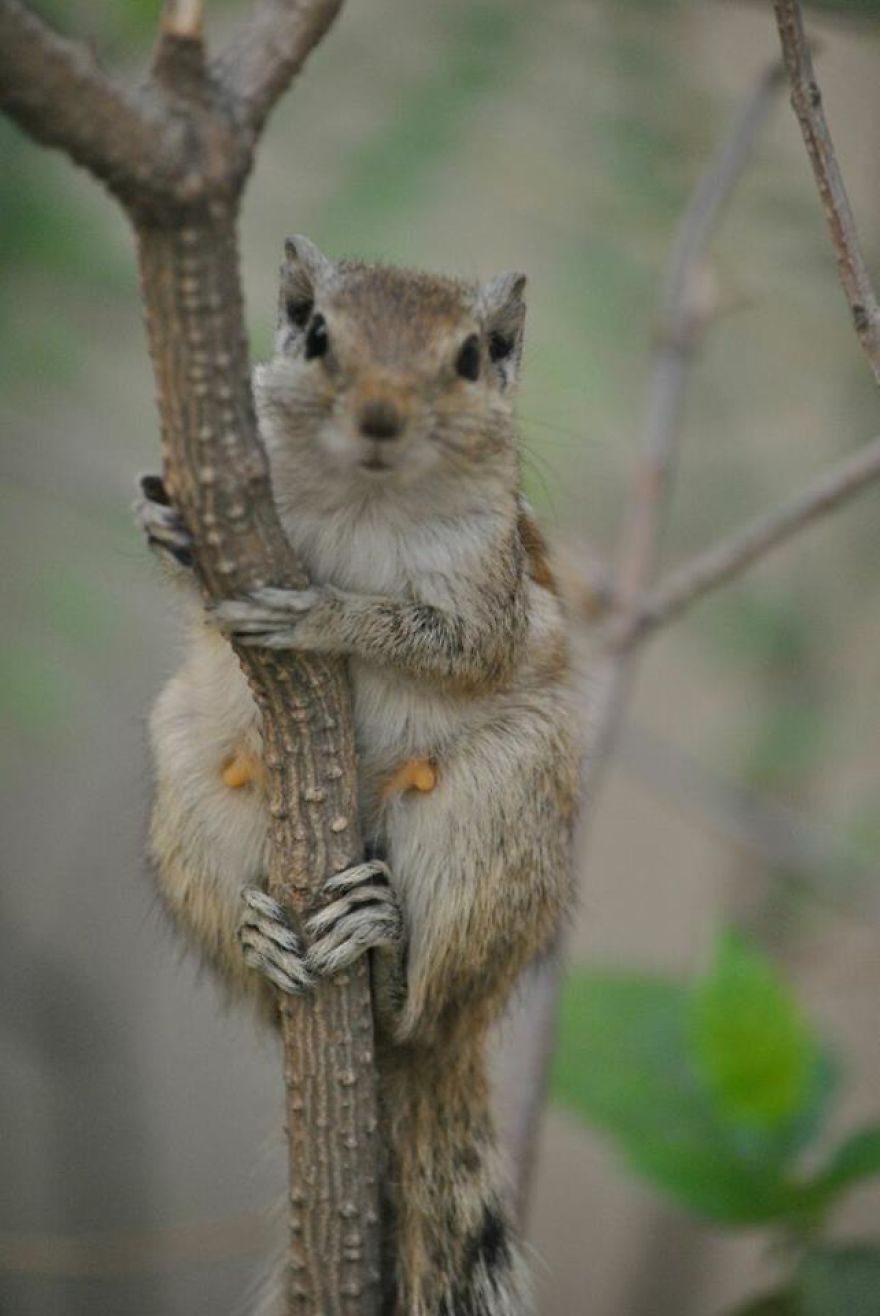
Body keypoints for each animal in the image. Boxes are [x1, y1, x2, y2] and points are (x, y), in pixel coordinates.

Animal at [137, 236, 582, 1316]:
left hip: (494, 815)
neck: (366, 498)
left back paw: (379, 951)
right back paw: (265, 940)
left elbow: (439, 639)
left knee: (420, 1010)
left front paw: (323, 613)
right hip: (188, 787)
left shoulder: (488, 593)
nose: (380, 416)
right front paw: (163, 522)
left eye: (470, 357)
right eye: (316, 334)